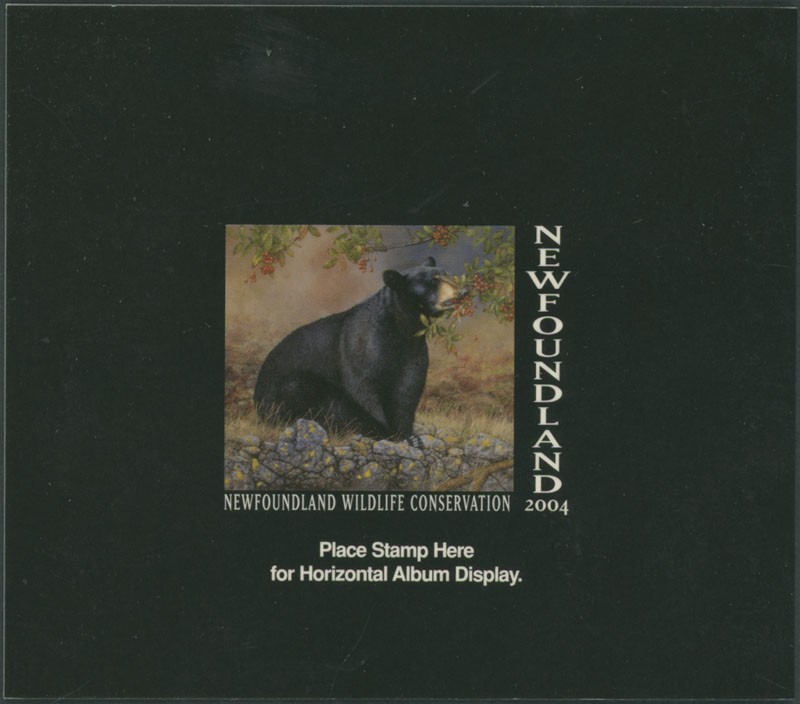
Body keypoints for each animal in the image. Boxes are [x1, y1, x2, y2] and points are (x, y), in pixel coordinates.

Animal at [253, 257, 465, 441]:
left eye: (446, 274)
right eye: (433, 281)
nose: (462, 292)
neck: (400, 329)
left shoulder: (413, 352)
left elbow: (407, 390)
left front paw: (405, 433)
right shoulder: (361, 346)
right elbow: (363, 387)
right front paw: (384, 430)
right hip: (288, 390)